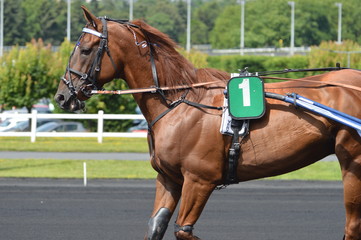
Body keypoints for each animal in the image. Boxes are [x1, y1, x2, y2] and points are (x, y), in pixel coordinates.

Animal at [54, 6, 360, 239]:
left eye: (84, 49)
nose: (62, 95)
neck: (179, 102)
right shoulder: (169, 178)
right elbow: (156, 225)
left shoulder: (200, 180)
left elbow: (183, 230)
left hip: (352, 162)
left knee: (352, 226)